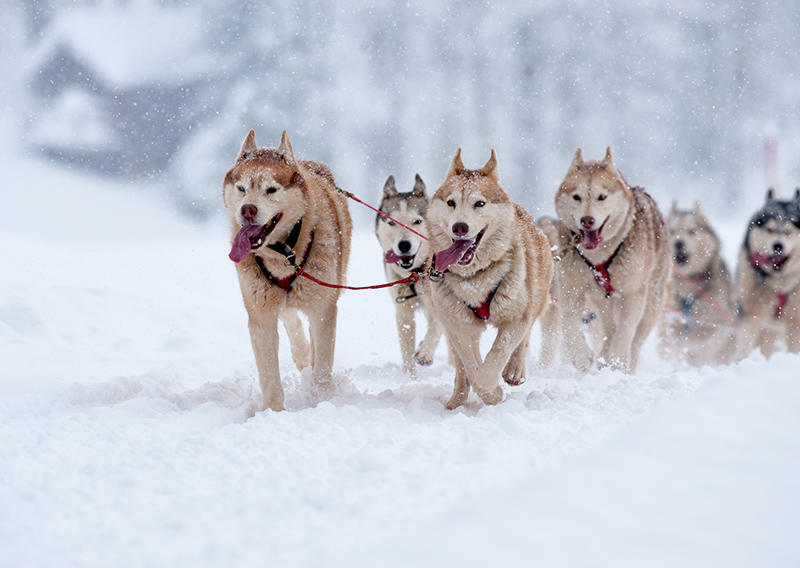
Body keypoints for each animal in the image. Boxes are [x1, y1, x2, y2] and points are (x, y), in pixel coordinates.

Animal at [376, 175, 444, 374]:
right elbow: (406, 348)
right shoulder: (404, 310)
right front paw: (408, 377)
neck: (418, 272)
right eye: (392, 222)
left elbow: (436, 327)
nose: (404, 245)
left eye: (417, 221)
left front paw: (425, 353)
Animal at [428, 150, 552, 408]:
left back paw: (514, 370)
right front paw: (490, 392)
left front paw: (493, 390)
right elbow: (472, 367)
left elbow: (496, 357)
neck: (476, 278)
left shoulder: (517, 317)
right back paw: (455, 401)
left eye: (480, 203)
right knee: (461, 369)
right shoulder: (460, 327)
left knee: (524, 339)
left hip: (535, 298)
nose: (460, 227)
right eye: (451, 202)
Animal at [548, 146, 672, 372]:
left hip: (652, 302)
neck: (600, 257)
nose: (587, 220)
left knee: (635, 339)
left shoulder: (633, 292)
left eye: (602, 197)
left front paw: (617, 361)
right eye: (577, 197)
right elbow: (569, 322)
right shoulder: (571, 288)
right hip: (601, 302)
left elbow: (625, 330)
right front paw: (581, 356)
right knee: (609, 329)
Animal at [660, 202, 736, 366]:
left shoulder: (715, 325)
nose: (678, 242)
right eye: (672, 231)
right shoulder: (671, 324)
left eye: (691, 231)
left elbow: (705, 345)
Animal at [736, 191, 800, 360]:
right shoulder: (751, 316)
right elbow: (744, 345)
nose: (777, 246)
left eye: (788, 232)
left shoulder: (795, 321)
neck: (780, 285)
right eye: (770, 230)